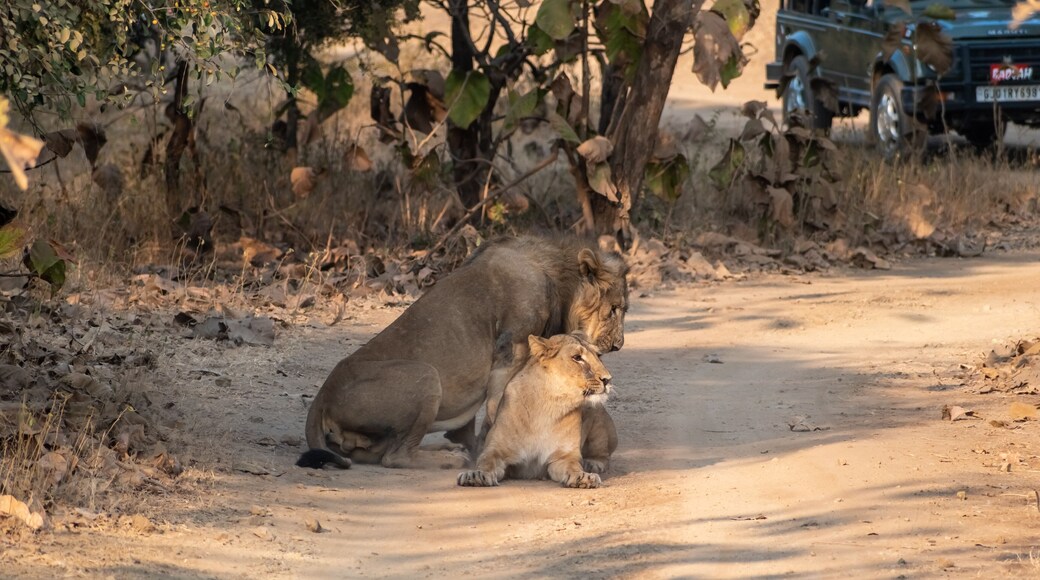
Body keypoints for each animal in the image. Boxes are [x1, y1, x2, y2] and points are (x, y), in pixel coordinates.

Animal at [297, 236, 628, 470]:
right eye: (615, 309)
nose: (618, 345)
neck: (558, 276)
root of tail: (322, 395)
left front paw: (469, 444)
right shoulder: (512, 346)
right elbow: (496, 407)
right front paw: (484, 450)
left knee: (381, 453)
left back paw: (448, 449)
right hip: (426, 375)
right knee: (395, 456)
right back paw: (449, 459)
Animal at [457, 333, 612, 488]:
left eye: (598, 355)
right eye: (577, 357)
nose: (607, 379)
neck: (549, 404)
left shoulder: (563, 456)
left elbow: (573, 466)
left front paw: (583, 476)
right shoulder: (495, 450)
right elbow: (486, 462)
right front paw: (476, 475)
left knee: (603, 454)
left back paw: (592, 463)